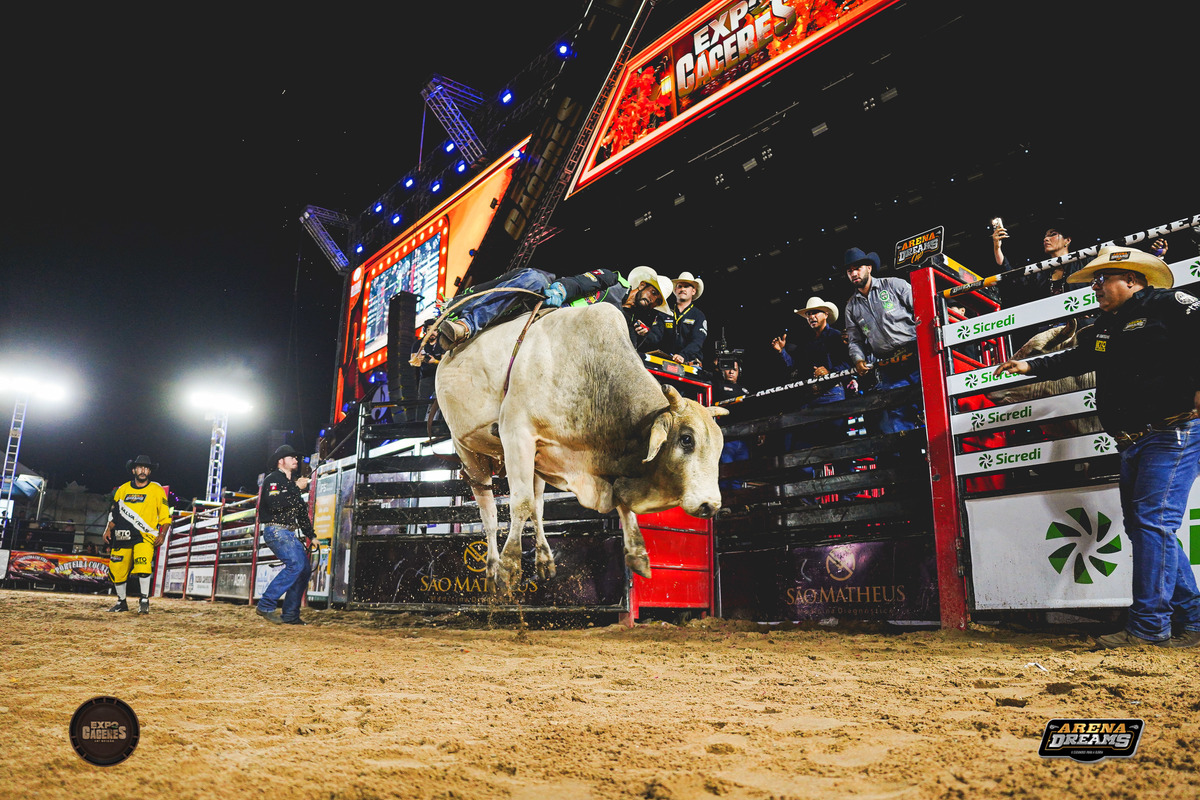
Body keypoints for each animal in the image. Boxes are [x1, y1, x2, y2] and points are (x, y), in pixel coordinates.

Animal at [434, 302, 727, 591]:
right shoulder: (517, 435)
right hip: (468, 449)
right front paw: (508, 567)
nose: (710, 505)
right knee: (489, 512)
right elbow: (520, 504)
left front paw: (637, 553)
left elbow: (617, 500)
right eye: (687, 439)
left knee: (537, 506)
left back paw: (544, 560)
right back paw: (493, 569)